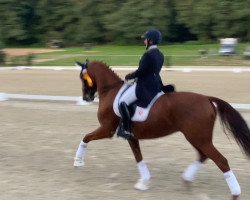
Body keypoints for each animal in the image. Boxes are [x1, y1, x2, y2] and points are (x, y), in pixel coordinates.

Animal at [74, 61, 250, 200]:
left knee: (220, 160)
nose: (86, 98)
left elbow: (85, 137)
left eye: (82, 77)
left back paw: (235, 194)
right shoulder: (131, 137)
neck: (111, 91)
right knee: (203, 156)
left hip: (198, 138)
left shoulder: (107, 129)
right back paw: (186, 180)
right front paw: (143, 182)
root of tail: (207, 98)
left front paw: (78, 161)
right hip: (196, 138)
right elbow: (139, 157)